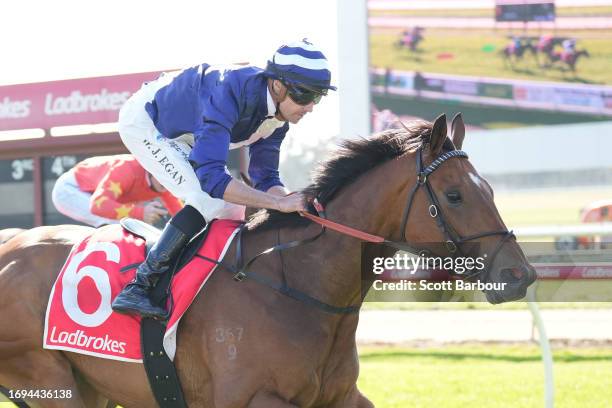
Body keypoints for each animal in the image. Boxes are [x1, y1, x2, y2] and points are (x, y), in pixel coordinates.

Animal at [0, 115, 536, 408]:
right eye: (454, 195)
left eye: (489, 189)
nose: (519, 274)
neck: (295, 285)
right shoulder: (249, 399)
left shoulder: (340, 398)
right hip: (49, 382)